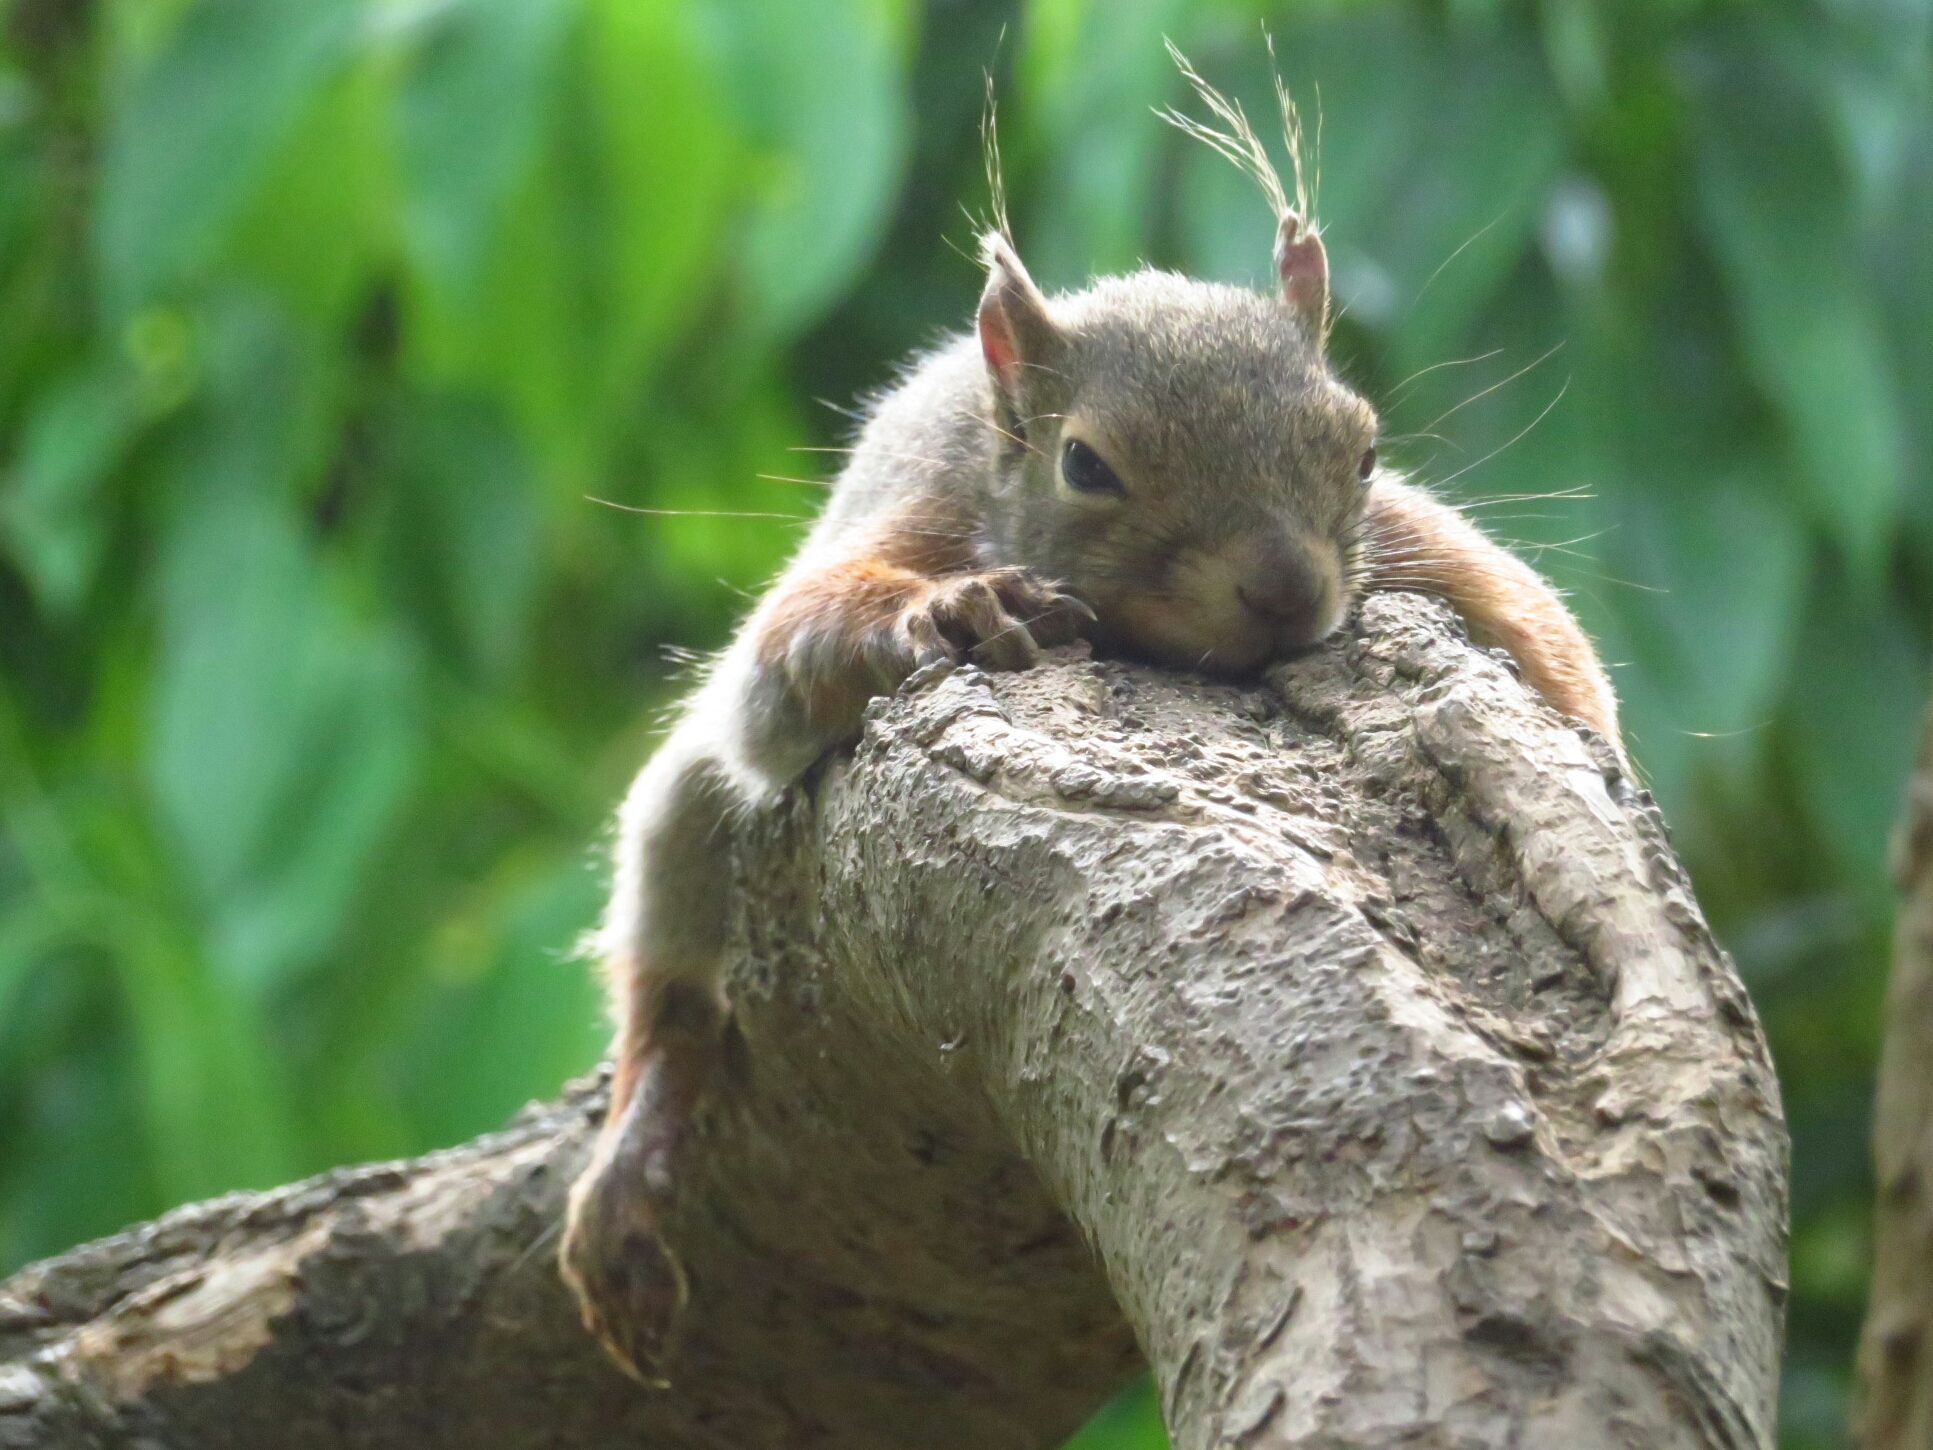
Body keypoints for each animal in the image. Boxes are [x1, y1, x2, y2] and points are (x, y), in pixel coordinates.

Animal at [556, 113, 1615, 1384]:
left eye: (1363, 452)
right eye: (1086, 466)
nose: (1286, 591)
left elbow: (1555, 649)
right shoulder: (912, 518)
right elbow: (782, 667)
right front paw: (954, 611)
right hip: (681, 840)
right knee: (668, 951)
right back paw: (639, 1134)